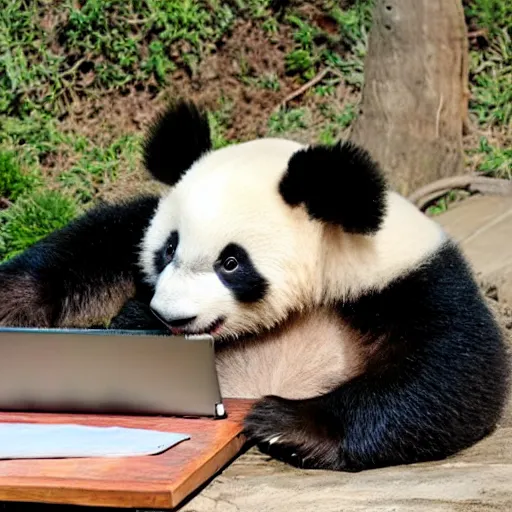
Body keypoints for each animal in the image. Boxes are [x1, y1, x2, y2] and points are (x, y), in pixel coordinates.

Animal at [0, 101, 508, 472]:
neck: (329, 270)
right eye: (168, 249)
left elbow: (453, 373)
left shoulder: (408, 281)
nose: (171, 316)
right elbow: (96, 241)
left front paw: (292, 424)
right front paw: (17, 303)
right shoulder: (131, 234)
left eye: (231, 263)